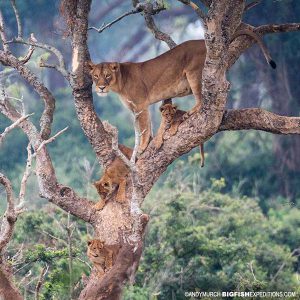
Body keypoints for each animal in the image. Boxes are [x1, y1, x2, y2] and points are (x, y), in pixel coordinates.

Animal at [88, 29, 276, 154]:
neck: (119, 83)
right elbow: (148, 126)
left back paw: (191, 112)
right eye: (96, 76)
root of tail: (202, 42)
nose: (101, 87)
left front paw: (142, 147)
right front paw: (150, 142)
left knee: (202, 100)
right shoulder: (137, 108)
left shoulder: (141, 106)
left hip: (194, 74)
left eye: (107, 76)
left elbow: (144, 128)